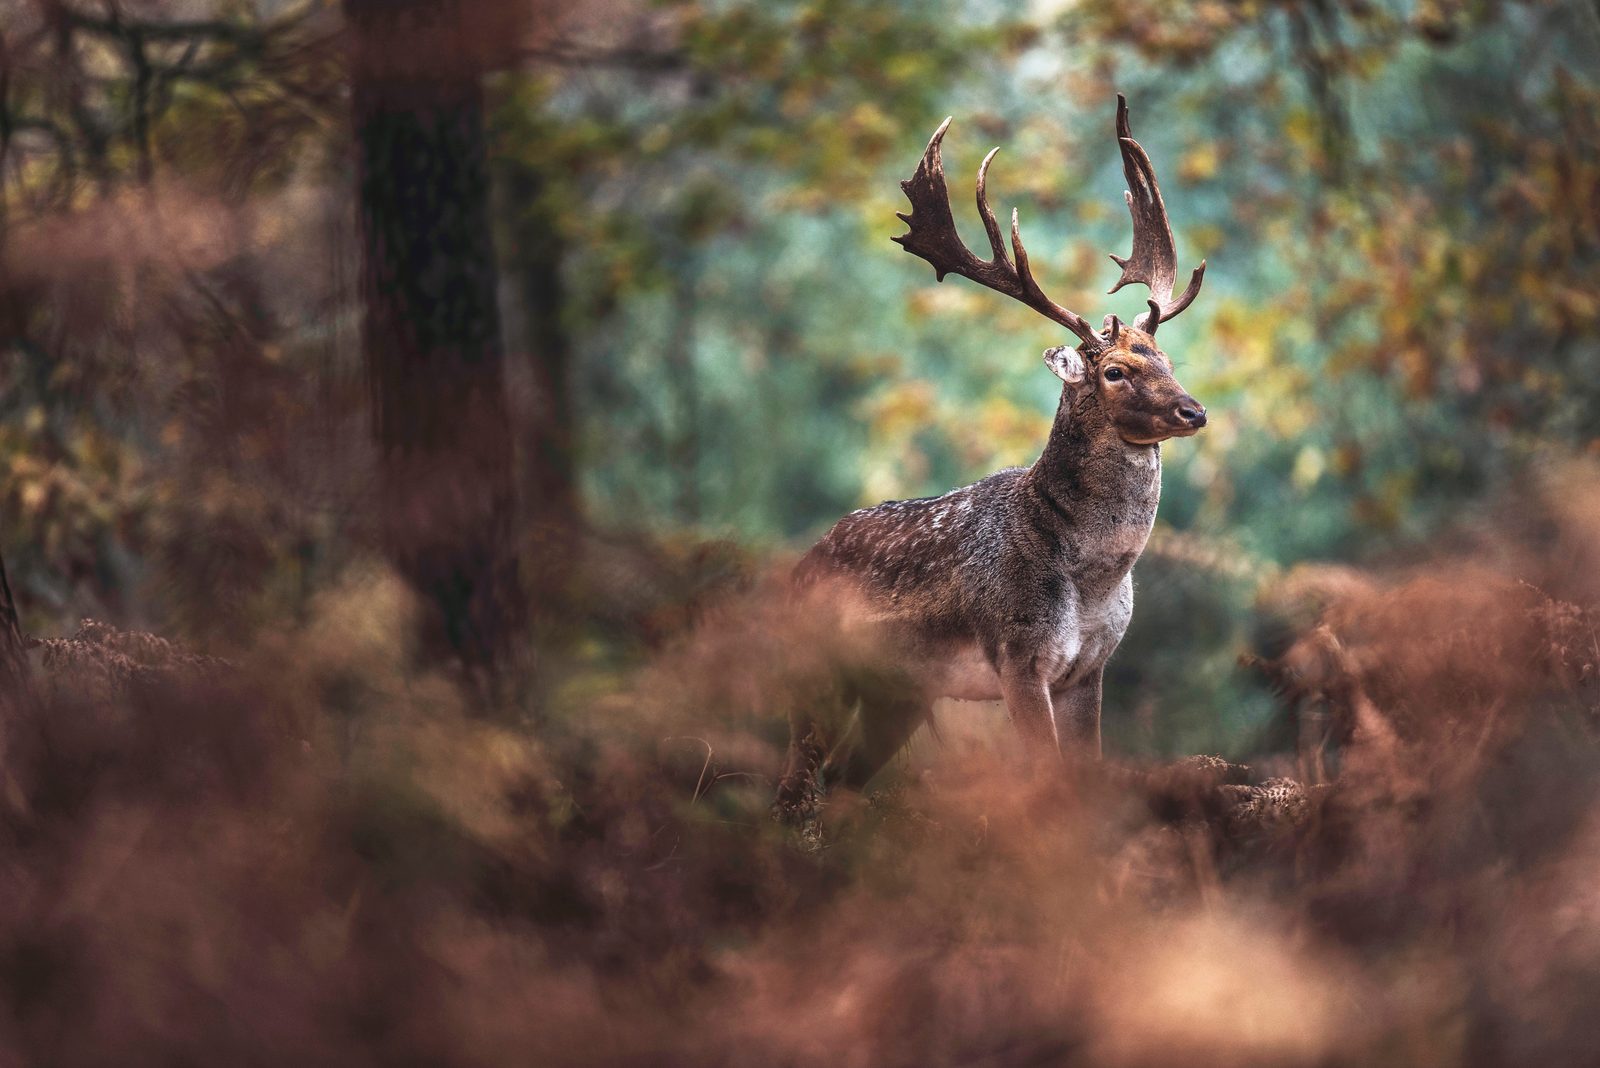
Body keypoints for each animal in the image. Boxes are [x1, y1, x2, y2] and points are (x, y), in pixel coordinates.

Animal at [777, 95, 1209, 816]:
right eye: (1116, 371)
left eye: (1168, 360)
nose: (1193, 411)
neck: (1093, 578)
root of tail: (795, 570)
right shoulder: (1017, 652)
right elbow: (1048, 782)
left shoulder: (1091, 667)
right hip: (818, 674)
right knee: (793, 787)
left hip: (899, 694)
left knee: (838, 780)